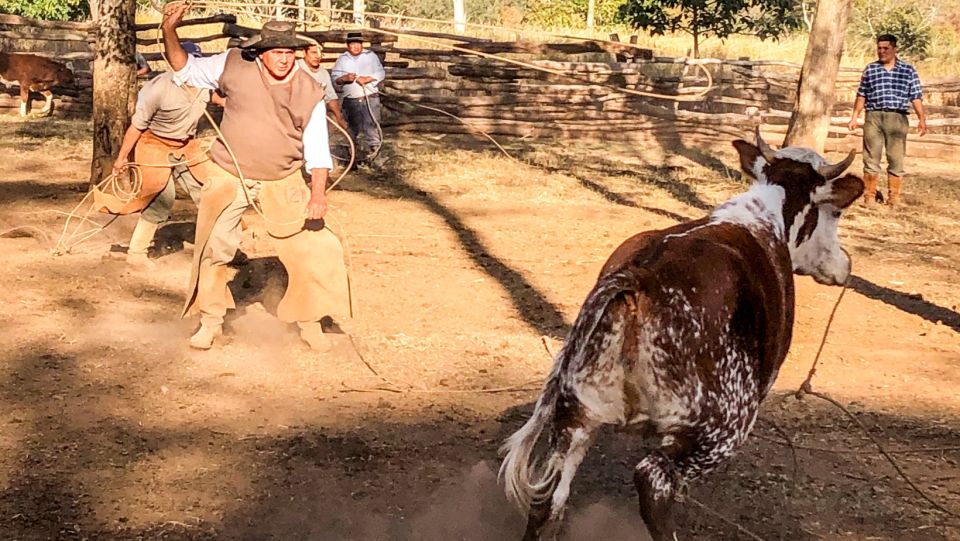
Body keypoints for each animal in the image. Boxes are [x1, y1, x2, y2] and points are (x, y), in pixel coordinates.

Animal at [498, 132, 868, 540]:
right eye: (836, 212)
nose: (845, 265)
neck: (763, 213)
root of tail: (641, 278)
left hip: (574, 420)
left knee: (548, 497)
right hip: (721, 427)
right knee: (652, 479)